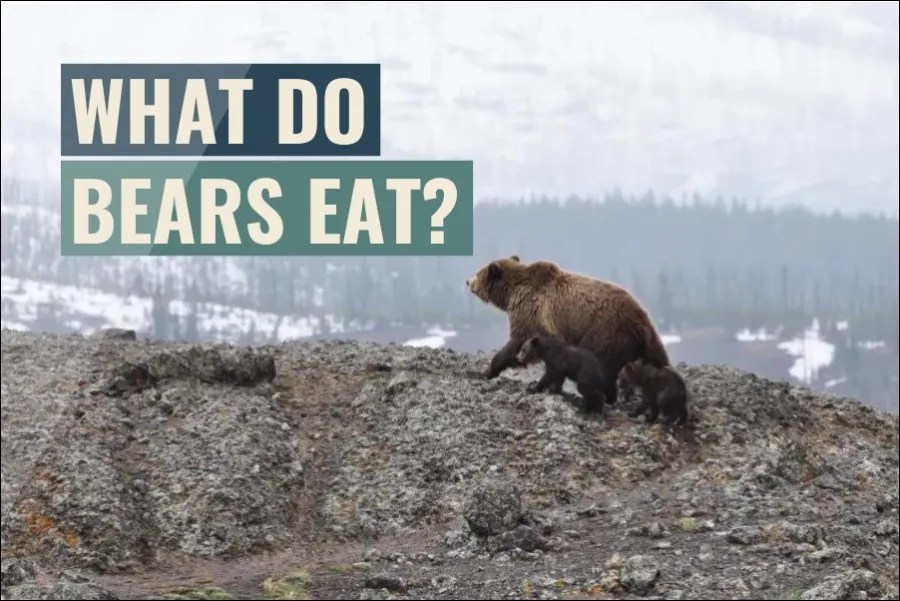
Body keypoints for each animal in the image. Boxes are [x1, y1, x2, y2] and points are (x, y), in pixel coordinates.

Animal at [465, 255, 670, 405]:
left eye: (478, 272)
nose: (467, 281)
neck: (511, 293)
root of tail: (643, 320)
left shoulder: (531, 314)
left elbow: (516, 342)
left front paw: (487, 371)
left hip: (605, 331)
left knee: (600, 363)